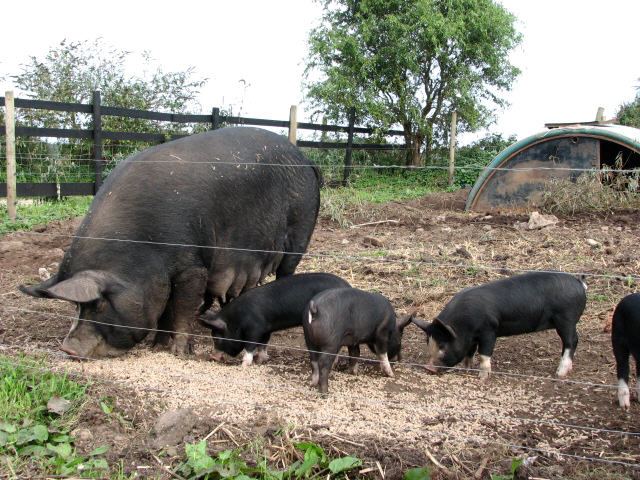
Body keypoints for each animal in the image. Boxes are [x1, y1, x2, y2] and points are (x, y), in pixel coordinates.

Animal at [18, 127, 320, 358]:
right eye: (76, 307)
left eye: (99, 304)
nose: (68, 349)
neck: (143, 247)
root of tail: (306, 159)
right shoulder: (162, 278)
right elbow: (166, 308)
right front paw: (157, 346)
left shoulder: (193, 266)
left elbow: (183, 308)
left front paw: (179, 353)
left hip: (300, 231)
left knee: (286, 272)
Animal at [199, 272, 351, 366]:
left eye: (217, 338)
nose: (212, 357)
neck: (237, 320)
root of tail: (348, 287)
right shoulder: (266, 329)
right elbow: (263, 344)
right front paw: (262, 360)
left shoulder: (255, 328)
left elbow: (250, 344)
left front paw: (244, 364)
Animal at [411, 271, 587, 379]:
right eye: (428, 343)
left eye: (442, 344)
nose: (428, 367)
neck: (463, 325)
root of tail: (579, 283)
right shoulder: (471, 337)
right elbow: (469, 352)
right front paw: (466, 369)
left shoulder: (489, 330)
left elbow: (484, 353)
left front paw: (482, 377)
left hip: (566, 319)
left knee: (572, 341)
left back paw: (560, 373)